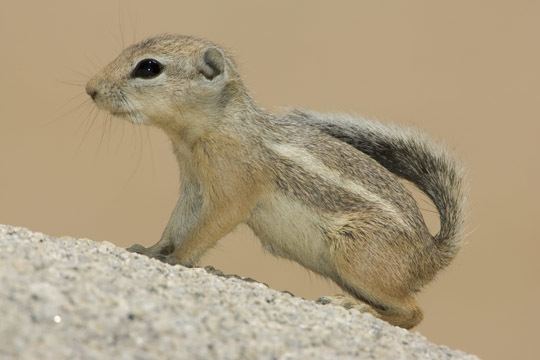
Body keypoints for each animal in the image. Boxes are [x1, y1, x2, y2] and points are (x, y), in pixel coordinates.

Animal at [86, 34, 466, 330]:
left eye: (148, 68)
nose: (91, 89)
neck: (211, 129)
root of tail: (430, 254)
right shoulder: (193, 188)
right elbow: (176, 225)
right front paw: (151, 250)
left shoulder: (232, 191)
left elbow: (204, 229)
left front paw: (176, 260)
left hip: (357, 256)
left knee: (413, 312)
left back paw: (352, 306)